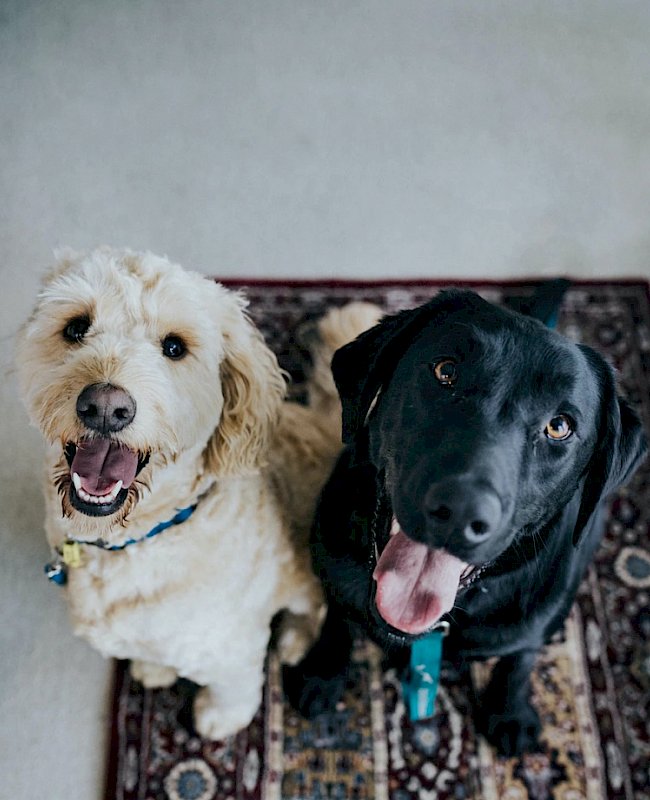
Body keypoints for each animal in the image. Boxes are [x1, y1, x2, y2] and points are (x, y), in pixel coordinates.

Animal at [16, 248, 380, 736]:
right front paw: (154, 668)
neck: (138, 539)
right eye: (76, 327)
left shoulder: (230, 644)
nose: (106, 407)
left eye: (174, 347)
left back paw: (295, 640)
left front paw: (217, 718)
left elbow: (234, 688)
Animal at [286, 288, 644, 756]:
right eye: (445, 371)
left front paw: (510, 711)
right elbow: (337, 616)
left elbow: (520, 658)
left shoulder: (535, 619)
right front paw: (323, 670)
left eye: (559, 426)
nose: (459, 511)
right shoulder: (332, 564)